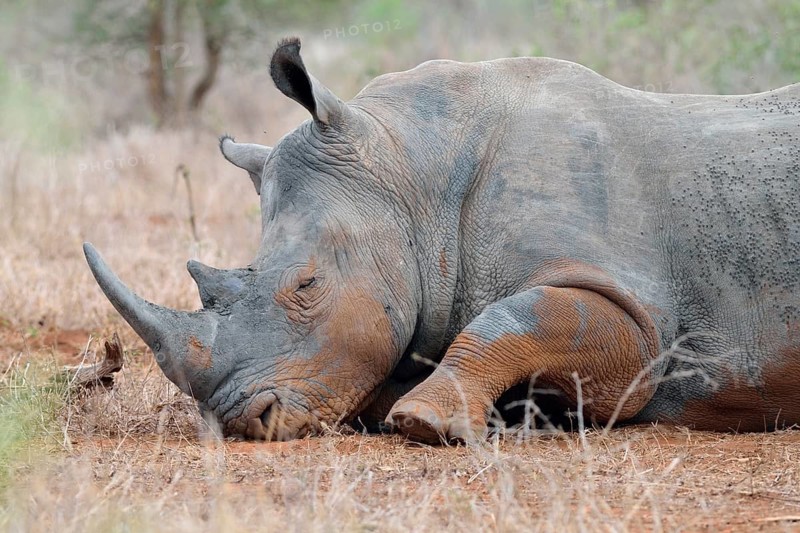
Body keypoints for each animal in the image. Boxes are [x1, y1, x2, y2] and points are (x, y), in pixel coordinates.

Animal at [84, 37, 800, 443]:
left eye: (308, 284)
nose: (239, 420)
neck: (413, 173)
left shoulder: (639, 317)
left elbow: (519, 317)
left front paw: (419, 421)